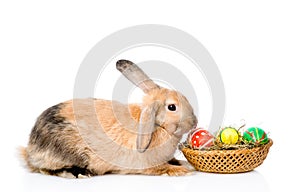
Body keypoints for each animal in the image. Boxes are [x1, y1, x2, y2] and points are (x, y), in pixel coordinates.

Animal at [20, 59, 199, 178]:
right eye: (172, 107)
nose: (194, 122)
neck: (155, 125)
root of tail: (31, 149)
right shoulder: (149, 165)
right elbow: (164, 168)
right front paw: (183, 171)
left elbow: (175, 160)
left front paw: (185, 164)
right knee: (47, 169)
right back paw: (79, 174)